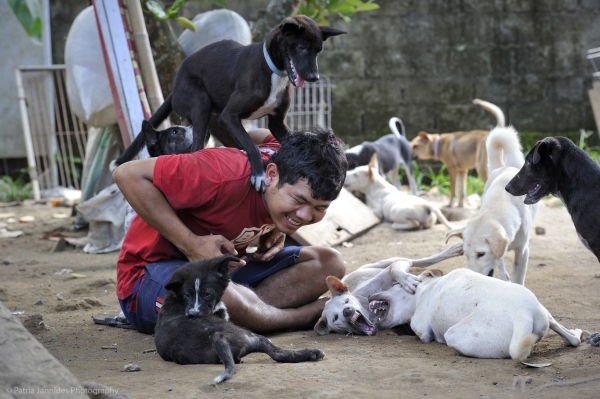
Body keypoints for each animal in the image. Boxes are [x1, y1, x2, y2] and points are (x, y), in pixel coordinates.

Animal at [114, 14, 344, 191]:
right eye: (302, 46)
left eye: (318, 50)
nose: (314, 77)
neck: (274, 71)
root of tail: (174, 88)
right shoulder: (230, 116)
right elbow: (251, 145)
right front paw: (259, 174)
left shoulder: (276, 123)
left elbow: (287, 139)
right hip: (202, 105)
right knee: (196, 146)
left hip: (216, 124)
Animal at [154, 255, 324, 386]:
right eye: (187, 294)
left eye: (207, 293)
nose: (193, 314)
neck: (176, 299)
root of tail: (217, 337)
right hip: (249, 335)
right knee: (277, 351)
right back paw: (313, 352)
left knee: (278, 355)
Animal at [314, 245, 464, 336]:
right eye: (335, 318)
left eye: (346, 301)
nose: (347, 311)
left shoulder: (388, 272)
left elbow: (393, 269)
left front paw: (407, 281)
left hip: (389, 261)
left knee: (418, 260)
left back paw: (452, 251)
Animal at [368, 268, 584, 362]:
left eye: (394, 285)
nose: (370, 294)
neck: (425, 288)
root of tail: (523, 314)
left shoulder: (420, 326)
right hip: (542, 310)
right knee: (571, 338)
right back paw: (576, 333)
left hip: (456, 335)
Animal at [446, 126, 540, 286]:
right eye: (465, 254)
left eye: (481, 254)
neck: (497, 207)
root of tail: (503, 167)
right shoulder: (500, 249)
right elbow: (501, 267)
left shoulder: (522, 251)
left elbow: (518, 279)